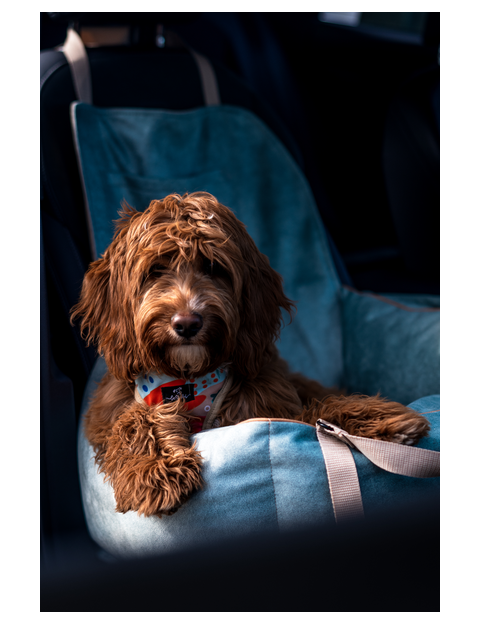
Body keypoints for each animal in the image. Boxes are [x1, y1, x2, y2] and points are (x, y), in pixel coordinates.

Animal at [71, 192, 430, 517]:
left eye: (213, 267)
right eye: (156, 269)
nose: (187, 323)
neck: (190, 375)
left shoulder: (268, 401)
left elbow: (314, 414)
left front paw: (379, 422)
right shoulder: (110, 412)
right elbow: (135, 420)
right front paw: (157, 470)